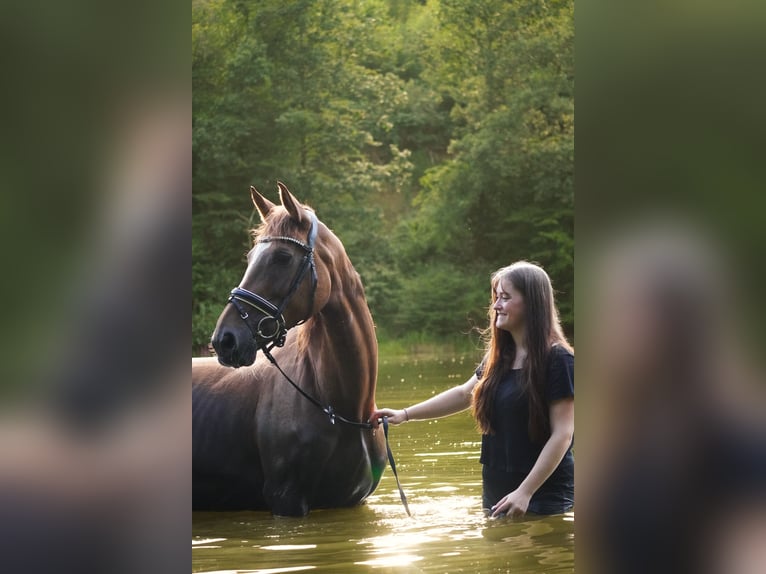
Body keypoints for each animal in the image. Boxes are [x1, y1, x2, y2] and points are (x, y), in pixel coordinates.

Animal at [192, 183, 384, 516]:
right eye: (250, 256)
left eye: (282, 257)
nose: (224, 340)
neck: (342, 406)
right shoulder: (286, 500)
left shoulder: (350, 503)